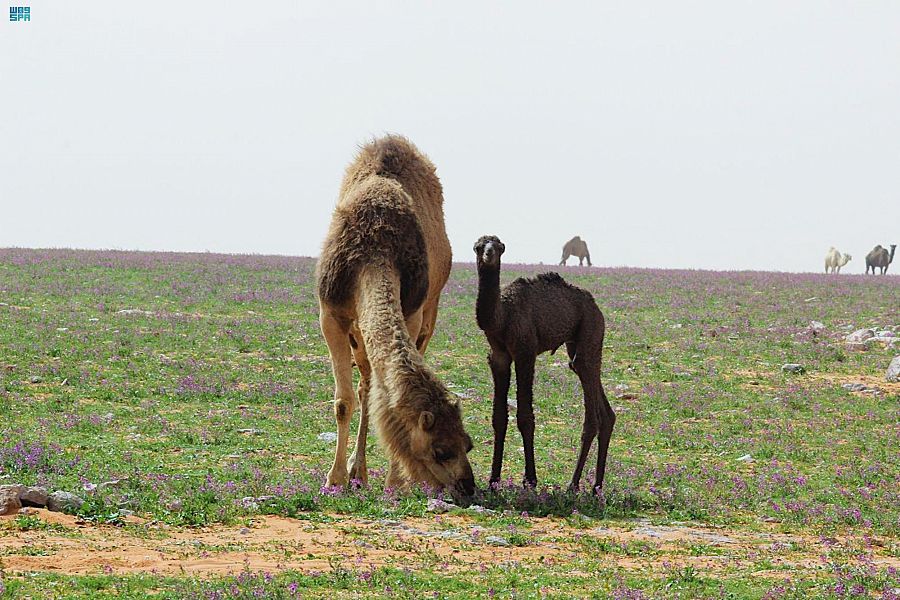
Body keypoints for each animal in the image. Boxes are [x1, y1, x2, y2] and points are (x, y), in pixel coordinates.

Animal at [314, 136, 474, 496]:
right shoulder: (330, 314)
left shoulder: (412, 313)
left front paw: (395, 482)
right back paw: (357, 472)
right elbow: (343, 401)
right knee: (365, 386)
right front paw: (335, 478)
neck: (374, 252)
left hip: (429, 311)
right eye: (441, 450)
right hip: (357, 332)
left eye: (468, 444)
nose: (468, 487)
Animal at [474, 234, 616, 492]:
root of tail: (596, 307)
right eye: (479, 246)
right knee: (604, 410)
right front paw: (493, 479)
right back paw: (597, 486)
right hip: (576, 344)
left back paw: (573, 484)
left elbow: (525, 417)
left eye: (499, 247)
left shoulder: (525, 352)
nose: (489, 254)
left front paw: (530, 479)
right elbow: (498, 418)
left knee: (591, 412)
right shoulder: (498, 357)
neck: (502, 316)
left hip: (591, 330)